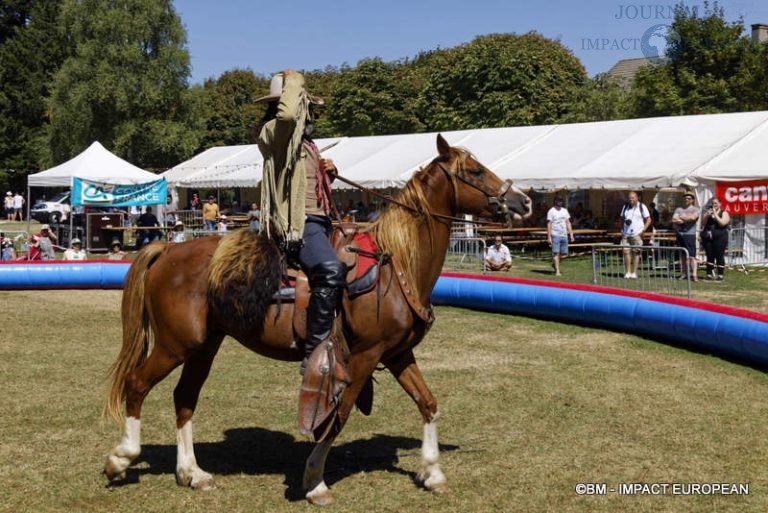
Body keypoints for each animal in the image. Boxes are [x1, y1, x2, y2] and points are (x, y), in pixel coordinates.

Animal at [102, 132, 532, 504]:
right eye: (475, 171)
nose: (524, 201)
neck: (397, 262)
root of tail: (168, 250)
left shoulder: (397, 353)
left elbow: (428, 402)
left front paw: (433, 473)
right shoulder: (364, 355)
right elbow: (337, 415)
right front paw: (314, 481)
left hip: (203, 347)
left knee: (184, 397)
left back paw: (192, 473)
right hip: (175, 345)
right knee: (136, 384)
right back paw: (121, 457)